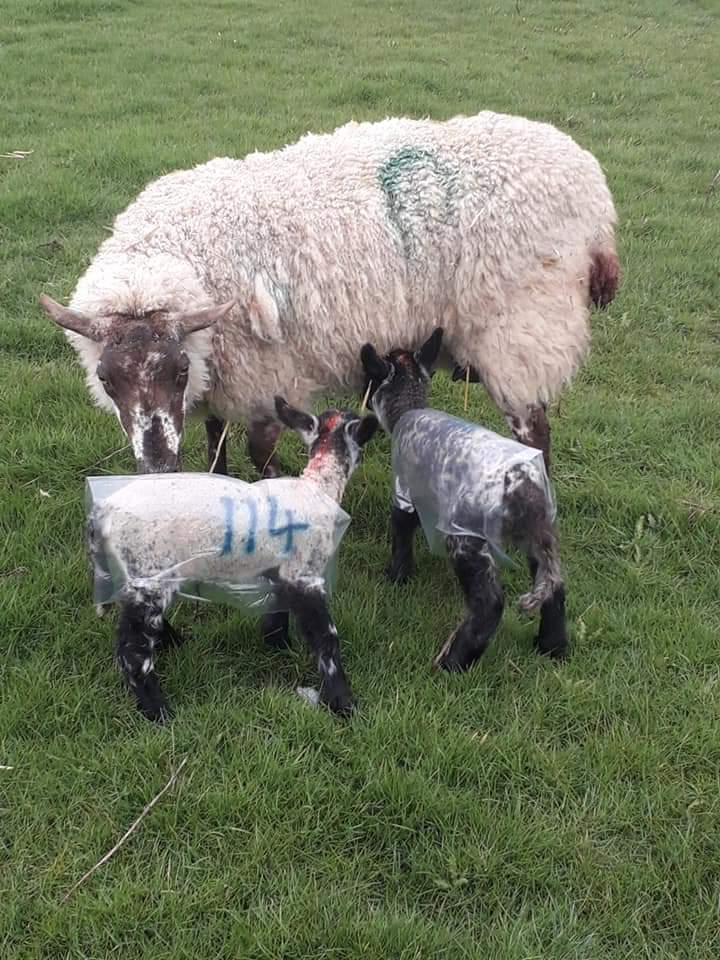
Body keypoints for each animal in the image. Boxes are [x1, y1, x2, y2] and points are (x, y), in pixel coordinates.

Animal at [40, 110, 618, 475]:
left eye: (178, 371)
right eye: (104, 379)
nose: (157, 466)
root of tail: (597, 198)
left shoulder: (265, 376)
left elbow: (260, 454)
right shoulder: (221, 378)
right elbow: (215, 448)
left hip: (521, 328)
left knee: (535, 433)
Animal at [88, 397, 378, 720]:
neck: (318, 487)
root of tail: (102, 513)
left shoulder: (278, 571)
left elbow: (277, 608)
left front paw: (276, 643)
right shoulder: (304, 574)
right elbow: (326, 637)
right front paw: (342, 701)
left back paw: (173, 644)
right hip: (149, 569)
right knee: (133, 648)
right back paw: (158, 710)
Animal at [360, 328, 568, 670]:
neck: (408, 408)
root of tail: (525, 490)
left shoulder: (404, 491)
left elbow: (401, 532)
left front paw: (395, 576)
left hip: (466, 537)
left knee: (489, 602)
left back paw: (453, 663)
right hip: (539, 534)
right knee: (555, 585)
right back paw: (553, 646)